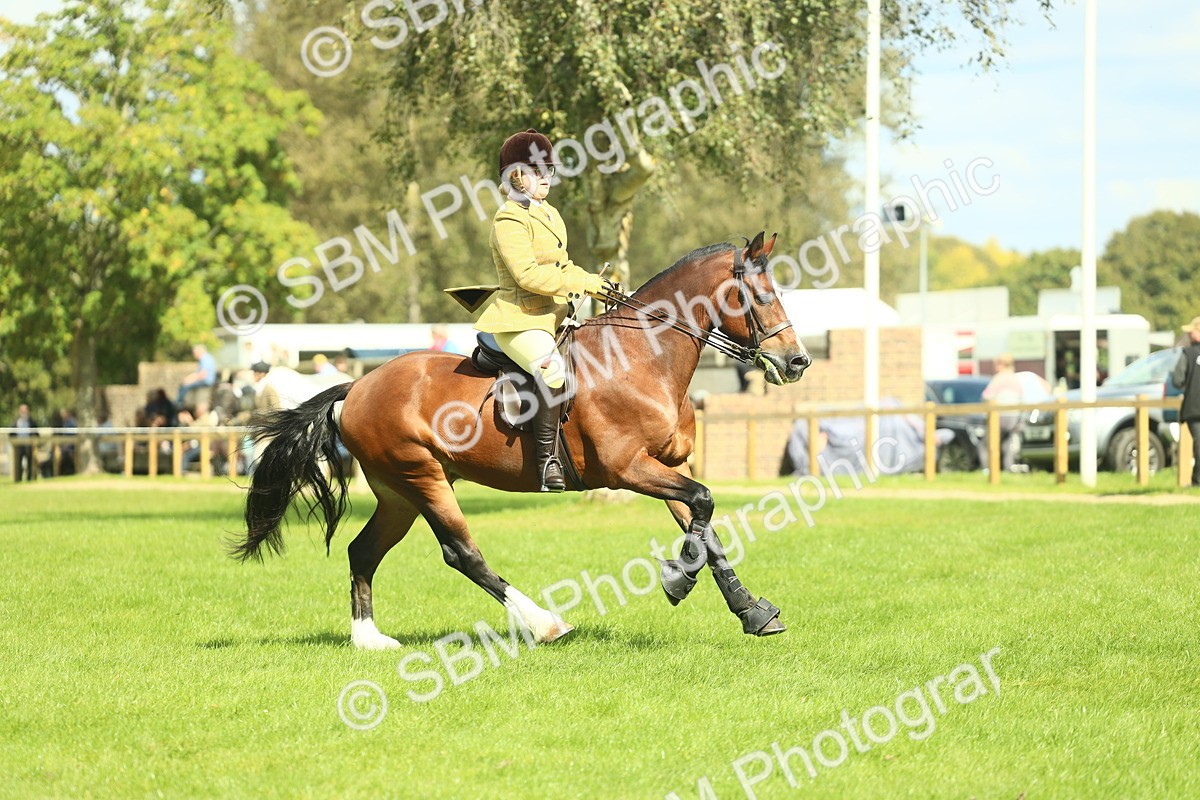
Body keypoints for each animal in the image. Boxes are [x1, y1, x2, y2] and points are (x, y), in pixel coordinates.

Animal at [230, 231, 811, 648]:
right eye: (760, 296)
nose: (797, 362)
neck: (642, 358)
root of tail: (357, 387)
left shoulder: (670, 466)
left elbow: (706, 528)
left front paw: (752, 612)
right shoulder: (628, 468)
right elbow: (705, 506)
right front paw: (677, 582)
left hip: (399, 492)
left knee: (363, 551)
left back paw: (369, 640)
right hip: (422, 477)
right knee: (462, 554)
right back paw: (545, 625)